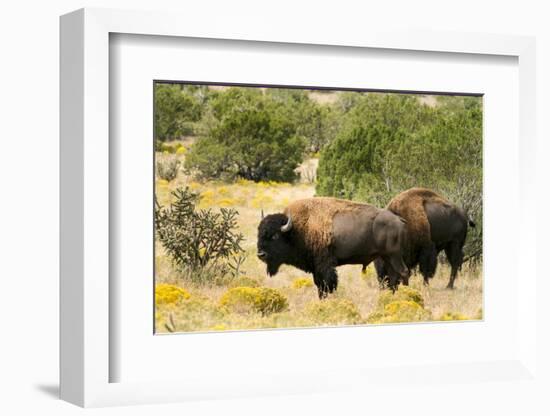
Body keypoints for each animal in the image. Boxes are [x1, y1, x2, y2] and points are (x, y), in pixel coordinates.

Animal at [258, 197, 410, 298]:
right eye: (259, 233)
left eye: (275, 236)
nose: (261, 254)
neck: (297, 230)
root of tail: (398, 219)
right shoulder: (316, 268)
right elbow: (320, 285)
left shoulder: (325, 265)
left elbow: (327, 285)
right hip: (386, 257)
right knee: (393, 276)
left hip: (394, 255)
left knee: (403, 272)